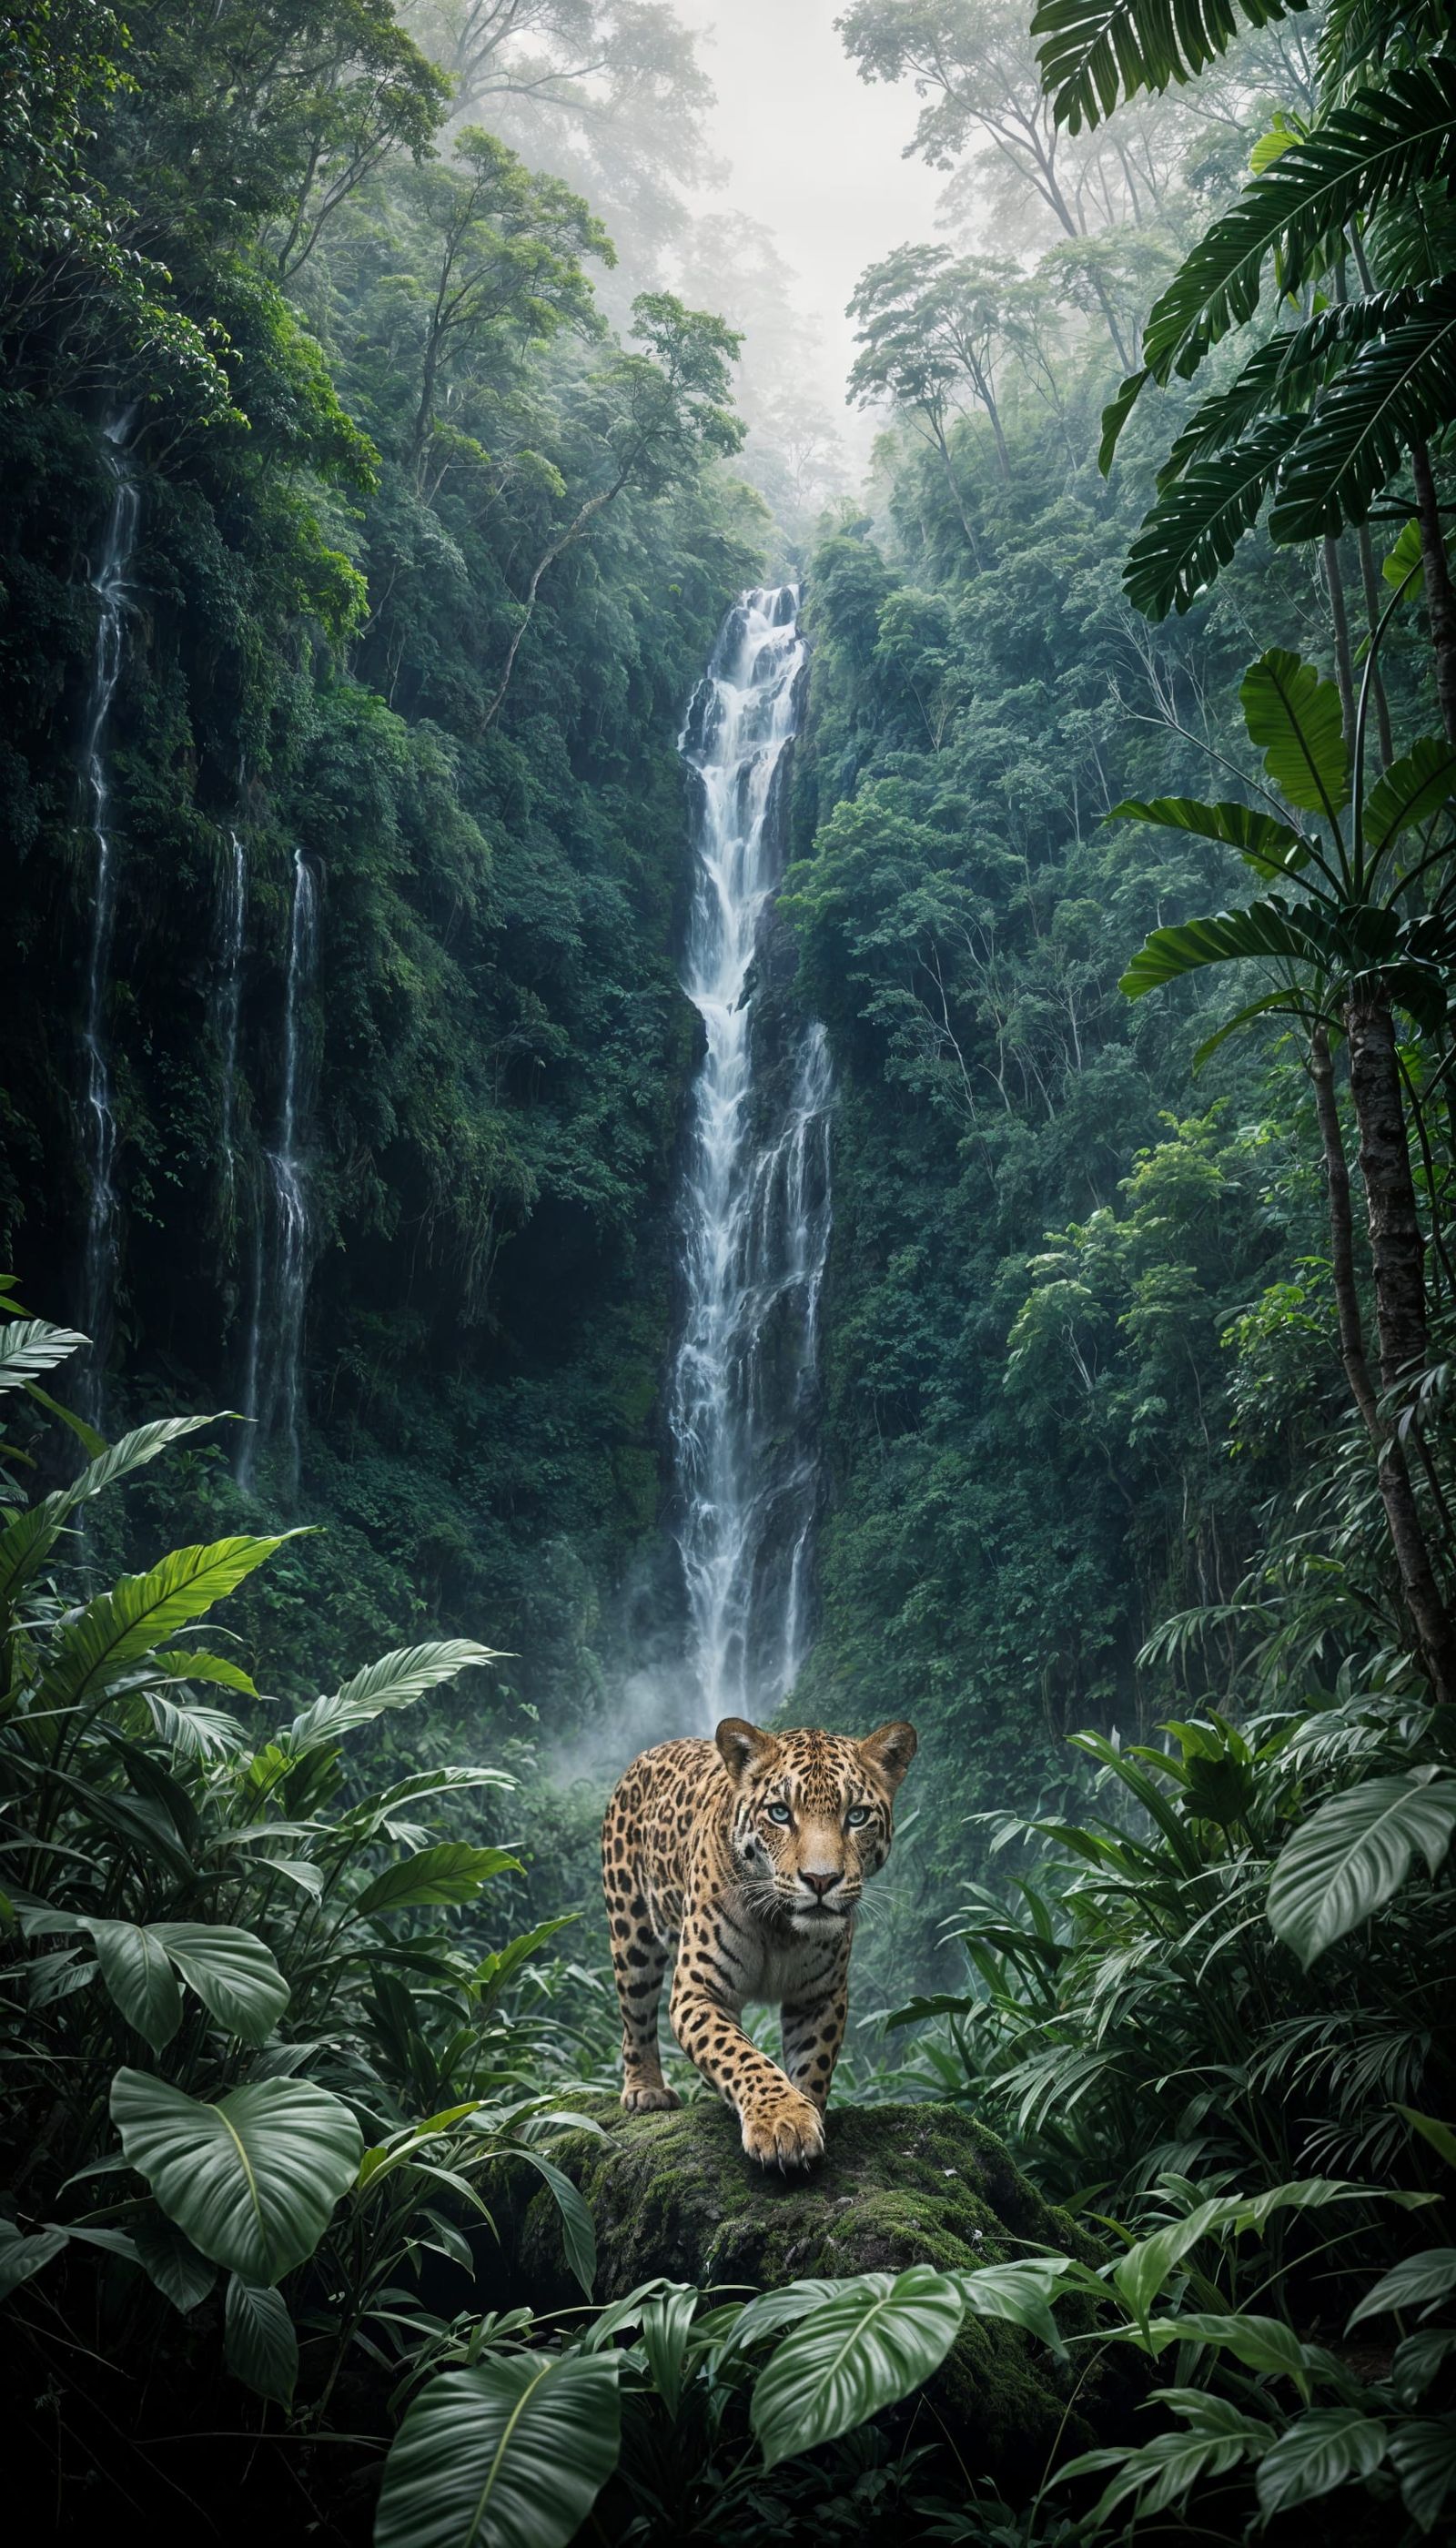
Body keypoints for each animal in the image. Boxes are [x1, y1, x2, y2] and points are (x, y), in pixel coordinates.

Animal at [601, 1713, 918, 2169]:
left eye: (856, 1816)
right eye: (780, 1813)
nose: (821, 1880)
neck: (780, 1927)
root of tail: (654, 1747)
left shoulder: (819, 1997)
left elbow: (813, 2065)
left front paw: (806, 2113)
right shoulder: (700, 1990)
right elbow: (739, 2055)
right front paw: (782, 2121)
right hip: (631, 1932)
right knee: (635, 2017)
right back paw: (645, 2090)